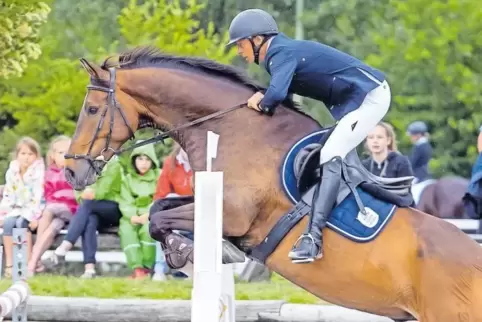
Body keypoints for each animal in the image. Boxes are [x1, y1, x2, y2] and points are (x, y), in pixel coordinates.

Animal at [64, 46, 482, 322]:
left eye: (93, 110)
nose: (71, 173)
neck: (233, 128)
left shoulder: (234, 216)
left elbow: (160, 218)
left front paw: (186, 253)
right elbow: (158, 210)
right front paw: (191, 251)